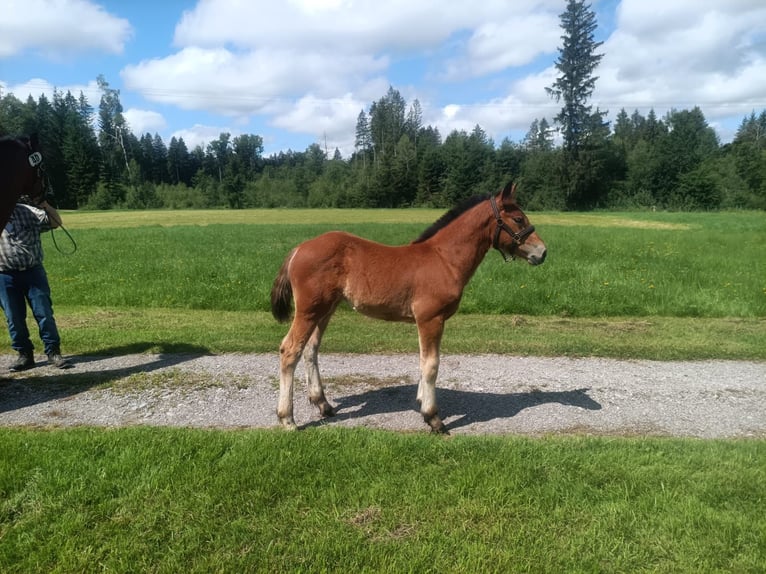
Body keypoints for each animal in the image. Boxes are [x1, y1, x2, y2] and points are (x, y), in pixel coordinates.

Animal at [272, 182, 548, 434]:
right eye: (518, 218)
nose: (542, 252)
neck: (444, 259)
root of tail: (299, 249)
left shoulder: (426, 321)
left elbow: (423, 361)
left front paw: (421, 401)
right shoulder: (431, 318)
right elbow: (431, 364)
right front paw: (433, 418)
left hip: (325, 310)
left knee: (311, 349)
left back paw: (323, 404)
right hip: (309, 310)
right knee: (290, 350)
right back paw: (288, 419)